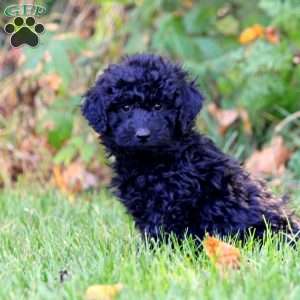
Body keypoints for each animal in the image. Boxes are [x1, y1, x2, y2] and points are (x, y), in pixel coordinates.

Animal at [82, 53, 300, 241]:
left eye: (159, 106)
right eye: (125, 108)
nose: (142, 135)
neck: (151, 163)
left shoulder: (169, 204)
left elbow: (159, 234)